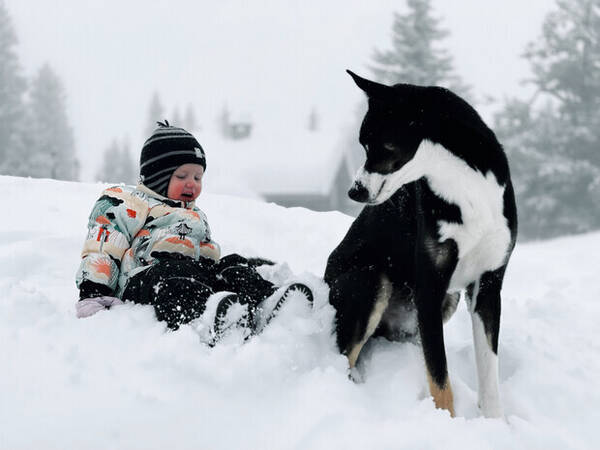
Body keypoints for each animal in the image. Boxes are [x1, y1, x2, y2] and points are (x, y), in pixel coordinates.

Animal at [326, 71, 516, 418]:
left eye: (384, 146)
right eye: (362, 144)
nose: (354, 192)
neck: (464, 188)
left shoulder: (488, 286)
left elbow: (488, 376)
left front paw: (495, 423)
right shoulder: (429, 286)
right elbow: (439, 378)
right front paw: (446, 422)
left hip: (447, 300)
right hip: (370, 280)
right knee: (345, 355)